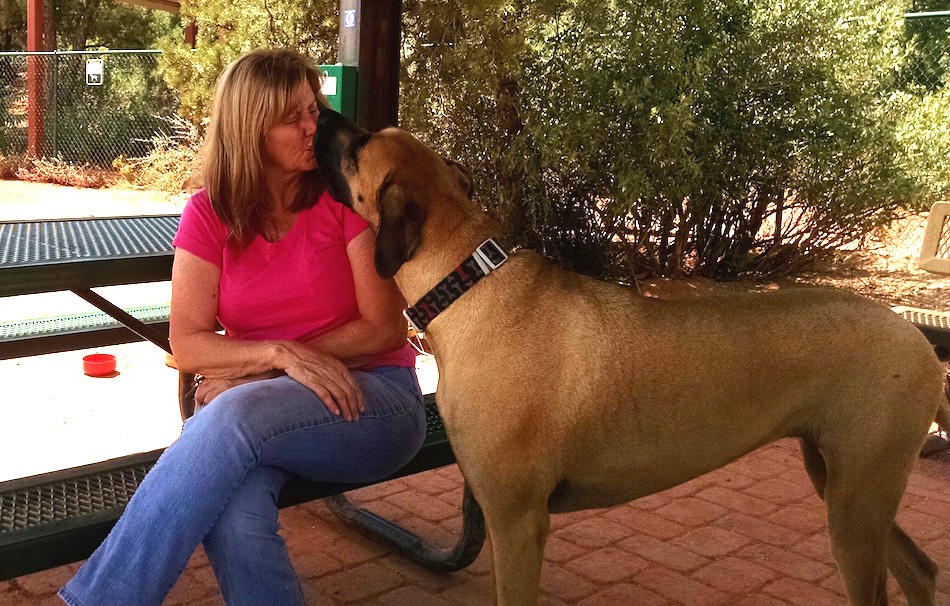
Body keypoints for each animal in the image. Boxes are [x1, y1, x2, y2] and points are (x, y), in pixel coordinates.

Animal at [314, 110, 950, 606]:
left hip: (857, 498)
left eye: (359, 147)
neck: (467, 283)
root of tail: (918, 340)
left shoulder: (518, 522)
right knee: (920, 569)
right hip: (842, 479)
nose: (320, 114)